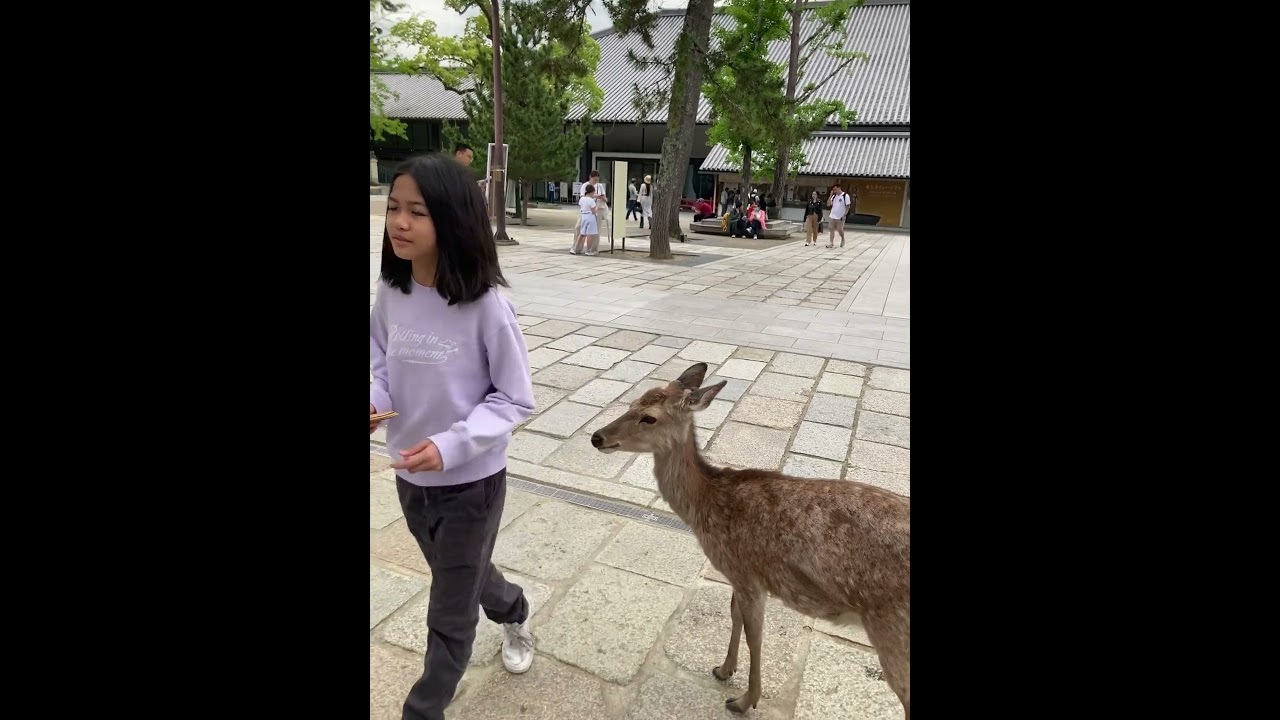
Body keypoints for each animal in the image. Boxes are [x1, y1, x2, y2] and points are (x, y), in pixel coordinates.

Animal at [590, 362, 910, 717]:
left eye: (649, 417)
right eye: (633, 402)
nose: (597, 437)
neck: (707, 505)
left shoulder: (749, 576)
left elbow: (755, 635)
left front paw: (745, 700)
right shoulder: (736, 576)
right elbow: (735, 616)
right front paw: (724, 669)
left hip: (893, 629)